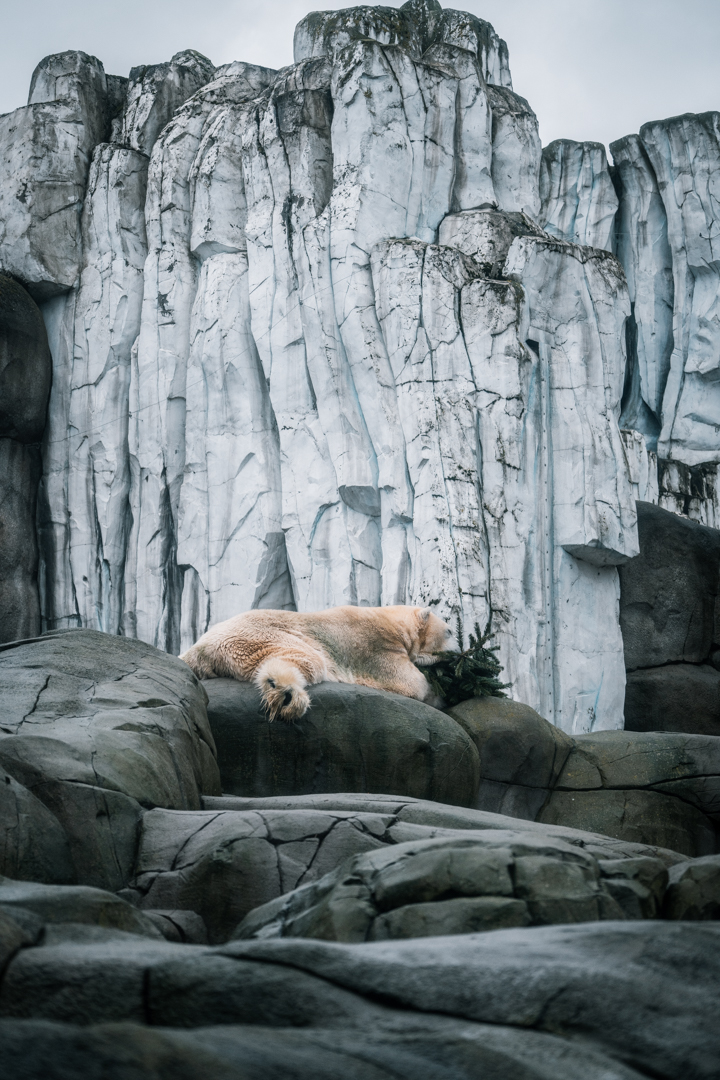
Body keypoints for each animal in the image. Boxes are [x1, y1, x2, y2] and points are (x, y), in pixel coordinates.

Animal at [179, 605, 455, 721]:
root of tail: (199, 647)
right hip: (263, 634)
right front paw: (439, 695)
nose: (459, 650)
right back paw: (286, 692)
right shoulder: (373, 645)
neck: (393, 622)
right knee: (304, 659)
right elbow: (410, 682)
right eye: (450, 631)